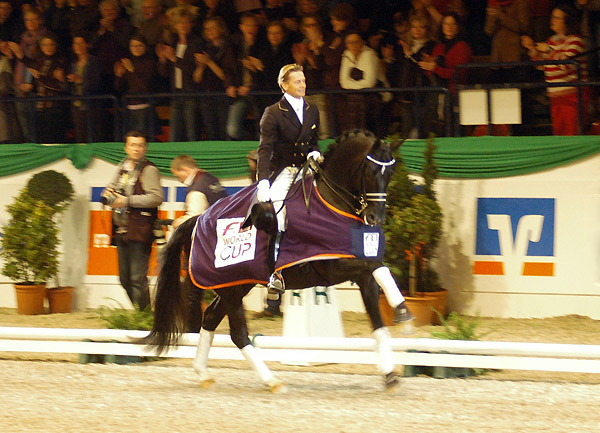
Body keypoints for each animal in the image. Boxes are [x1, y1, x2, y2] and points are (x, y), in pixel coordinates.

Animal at [142, 128, 412, 392]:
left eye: (391, 172)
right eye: (370, 171)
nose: (375, 218)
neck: (331, 201)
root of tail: (198, 218)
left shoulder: (362, 275)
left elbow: (378, 318)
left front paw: (390, 374)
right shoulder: (332, 266)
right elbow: (377, 266)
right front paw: (404, 314)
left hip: (236, 284)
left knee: (210, 318)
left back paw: (203, 373)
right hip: (232, 289)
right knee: (238, 333)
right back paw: (271, 380)